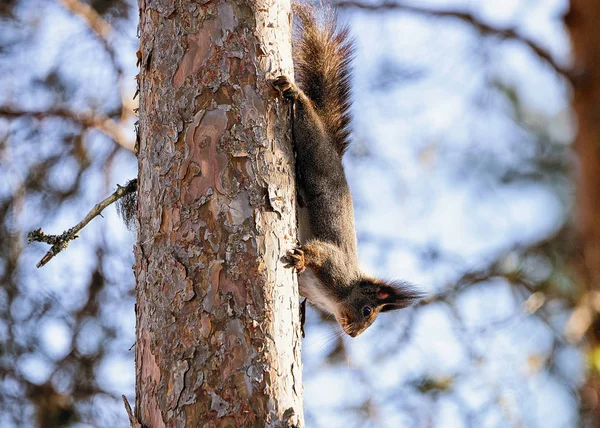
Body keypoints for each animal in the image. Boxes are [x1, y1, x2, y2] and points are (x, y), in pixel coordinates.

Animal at [272, 3, 422, 338]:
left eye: (371, 319)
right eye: (367, 310)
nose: (353, 334)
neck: (336, 294)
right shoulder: (334, 264)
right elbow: (318, 250)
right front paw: (301, 258)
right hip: (315, 151)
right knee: (306, 119)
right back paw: (295, 93)